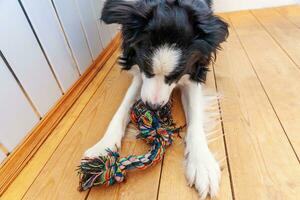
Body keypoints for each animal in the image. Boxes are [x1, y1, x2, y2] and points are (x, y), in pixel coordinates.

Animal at [83, 0, 229, 197]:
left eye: (176, 75)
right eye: (146, 68)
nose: (152, 107)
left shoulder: (194, 70)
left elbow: (196, 120)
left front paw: (202, 165)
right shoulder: (140, 73)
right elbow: (122, 108)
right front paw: (103, 147)